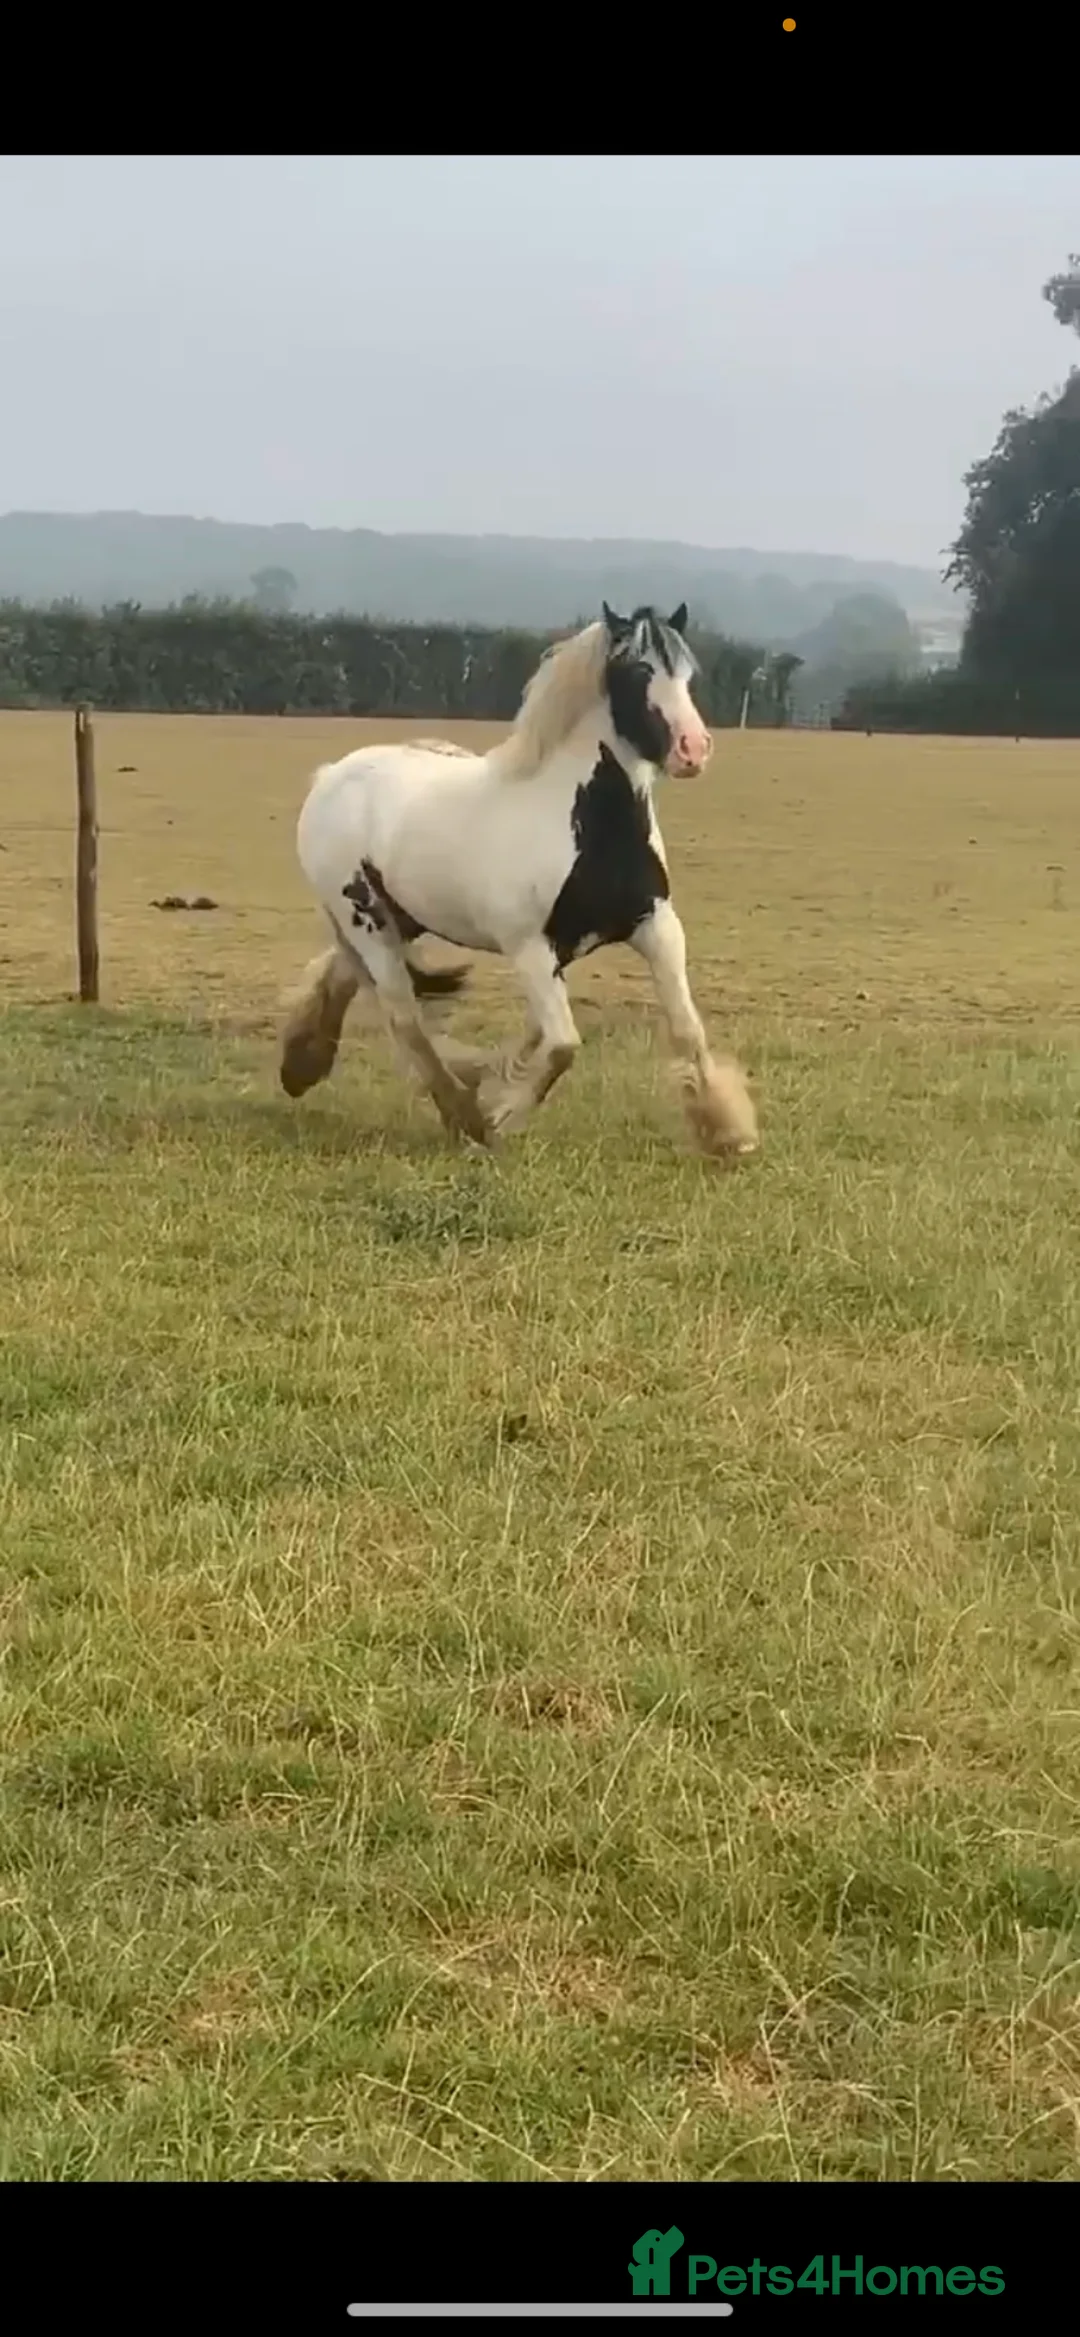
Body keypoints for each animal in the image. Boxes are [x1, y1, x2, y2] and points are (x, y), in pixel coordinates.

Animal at [279, 602, 759, 1161]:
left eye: (687, 672)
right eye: (638, 670)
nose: (693, 749)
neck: (584, 823)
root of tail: (330, 776)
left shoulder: (655, 926)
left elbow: (686, 1030)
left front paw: (729, 1133)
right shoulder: (530, 948)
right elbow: (563, 1046)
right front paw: (498, 1116)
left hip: (402, 918)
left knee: (342, 978)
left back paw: (302, 1067)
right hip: (367, 921)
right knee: (403, 1017)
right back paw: (464, 1117)